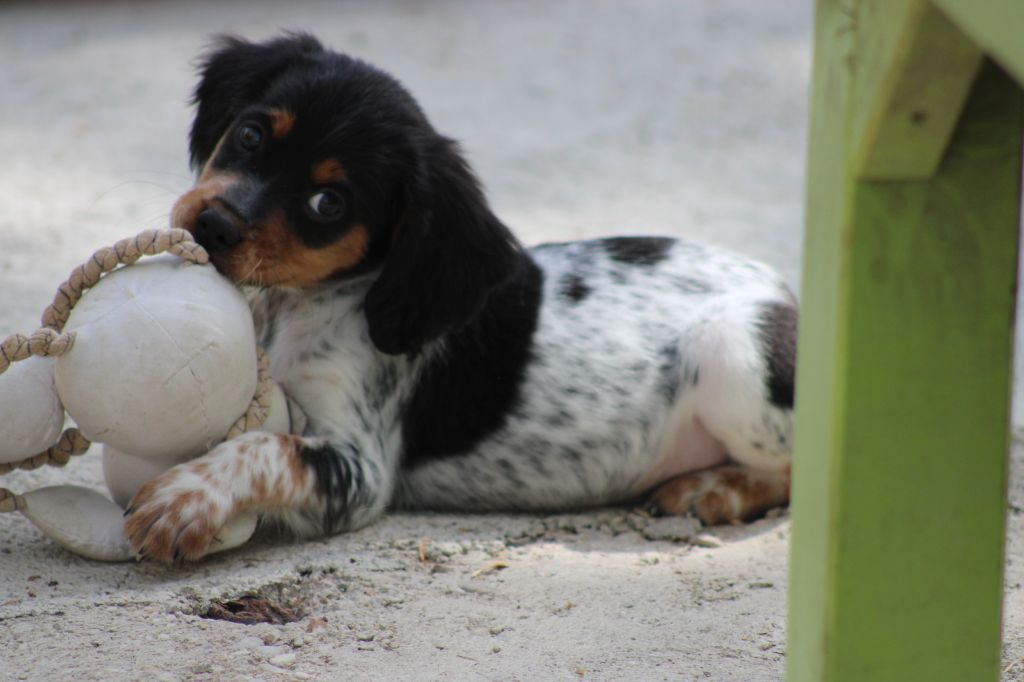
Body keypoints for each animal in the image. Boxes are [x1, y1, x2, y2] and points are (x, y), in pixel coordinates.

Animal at [125, 33, 798, 561]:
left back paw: (715, 488)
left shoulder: (361, 469)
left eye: (328, 203)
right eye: (249, 135)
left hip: (730, 351)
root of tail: (788, 290)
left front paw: (183, 501)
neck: (289, 305)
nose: (213, 227)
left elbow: (263, 446)